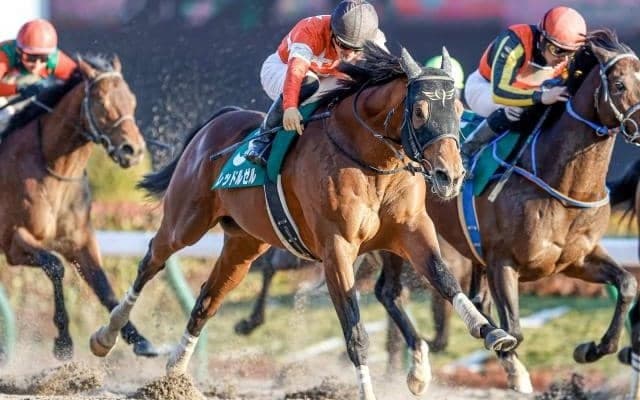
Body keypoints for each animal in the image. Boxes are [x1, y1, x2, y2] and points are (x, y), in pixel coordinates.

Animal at [0, 55, 156, 360]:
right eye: (101, 101)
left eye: (131, 100)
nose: (133, 151)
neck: (54, 169)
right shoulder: (13, 240)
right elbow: (55, 267)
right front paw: (63, 342)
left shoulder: (80, 241)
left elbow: (103, 285)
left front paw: (135, 339)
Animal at [90, 44, 517, 399]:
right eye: (420, 111)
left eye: (458, 112)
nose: (450, 176)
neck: (372, 161)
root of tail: (216, 123)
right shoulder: (337, 250)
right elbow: (355, 331)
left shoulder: (410, 231)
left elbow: (444, 278)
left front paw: (491, 332)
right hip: (186, 222)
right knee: (152, 259)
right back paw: (107, 336)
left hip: (243, 244)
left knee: (206, 301)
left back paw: (176, 373)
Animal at [368, 29, 640, 393]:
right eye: (620, 84)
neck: (565, 187)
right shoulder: (503, 264)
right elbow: (514, 330)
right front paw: (514, 369)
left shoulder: (576, 259)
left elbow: (627, 284)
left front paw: (591, 348)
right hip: (398, 236)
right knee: (389, 292)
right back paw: (417, 366)